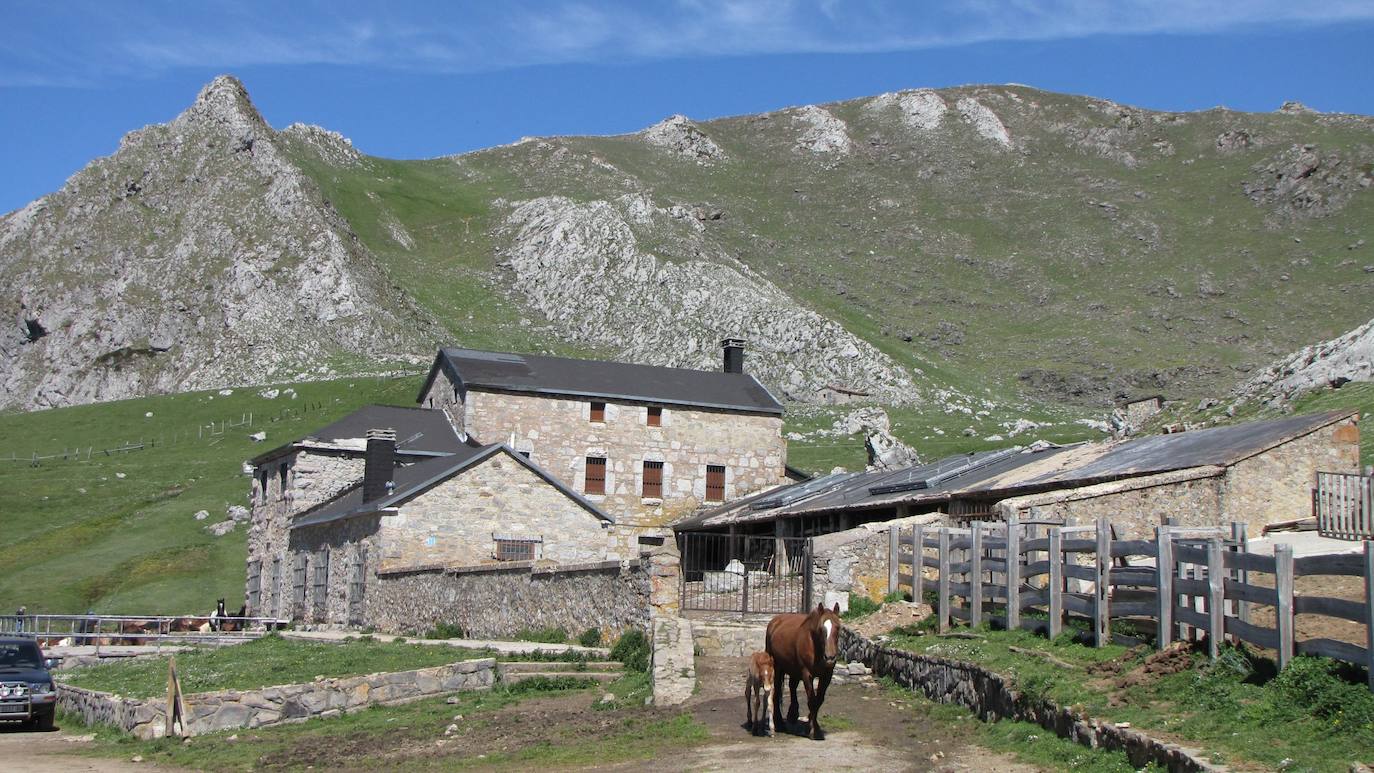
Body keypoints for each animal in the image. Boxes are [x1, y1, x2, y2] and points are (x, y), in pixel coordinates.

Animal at [769, 601, 840, 741]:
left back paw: (792, 715)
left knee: (792, 687)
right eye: (821, 629)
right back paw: (779, 723)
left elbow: (818, 700)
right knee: (777, 692)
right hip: (777, 667)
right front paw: (813, 731)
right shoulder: (807, 674)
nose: (830, 657)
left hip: (793, 669)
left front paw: (813, 726)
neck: (815, 647)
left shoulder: (827, 675)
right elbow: (812, 700)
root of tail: (775, 621)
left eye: (838, 628)